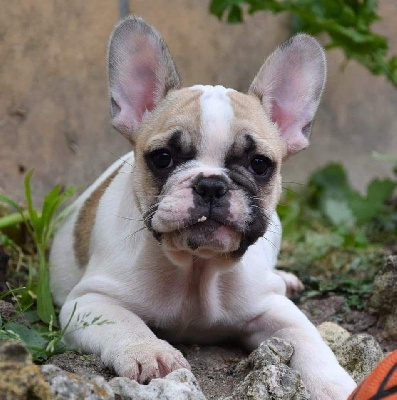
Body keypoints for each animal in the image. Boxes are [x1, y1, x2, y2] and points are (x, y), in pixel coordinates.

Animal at [49, 16, 356, 400]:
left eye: (259, 164)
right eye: (162, 158)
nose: (211, 184)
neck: (198, 267)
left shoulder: (274, 309)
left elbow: (309, 341)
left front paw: (334, 384)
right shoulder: (90, 301)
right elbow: (125, 323)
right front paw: (151, 352)